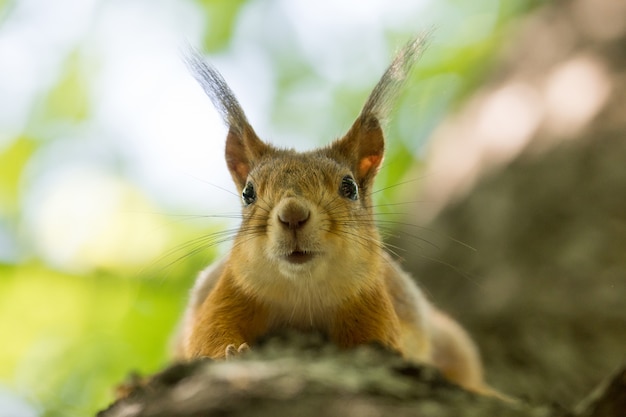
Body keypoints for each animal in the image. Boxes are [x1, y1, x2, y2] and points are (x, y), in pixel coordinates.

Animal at [177, 37, 498, 394]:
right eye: (248, 193)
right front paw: (230, 352)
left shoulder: (370, 299)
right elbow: (206, 338)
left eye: (350, 187)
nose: (292, 214)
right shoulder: (229, 292)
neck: (302, 293)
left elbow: (381, 342)